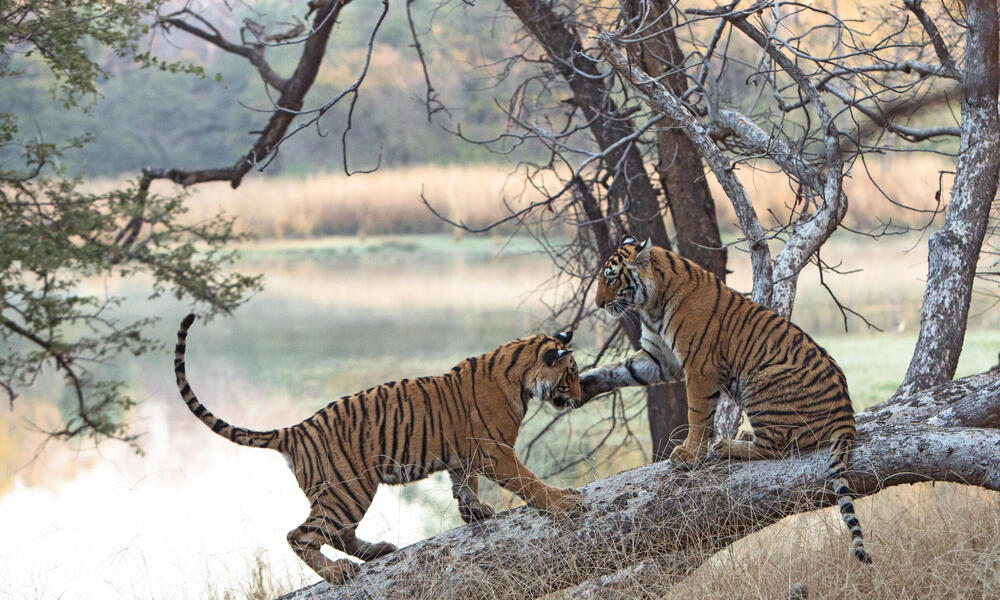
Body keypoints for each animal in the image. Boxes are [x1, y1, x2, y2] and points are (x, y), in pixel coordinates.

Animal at [173, 316, 584, 584]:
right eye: (571, 375)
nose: (580, 398)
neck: (520, 376)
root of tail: (294, 430)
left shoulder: (465, 456)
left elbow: (464, 487)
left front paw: (476, 513)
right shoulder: (495, 452)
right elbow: (530, 482)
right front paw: (564, 502)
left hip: (344, 493)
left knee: (337, 534)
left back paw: (378, 550)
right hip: (347, 490)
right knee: (301, 535)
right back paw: (338, 573)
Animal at [584, 233, 872, 564]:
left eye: (612, 278)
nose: (599, 304)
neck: (651, 305)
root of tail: (846, 413)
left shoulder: (698, 365)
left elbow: (696, 414)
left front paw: (690, 454)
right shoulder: (658, 358)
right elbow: (619, 370)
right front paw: (584, 382)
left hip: (760, 381)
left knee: (776, 448)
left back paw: (725, 446)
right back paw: (741, 437)